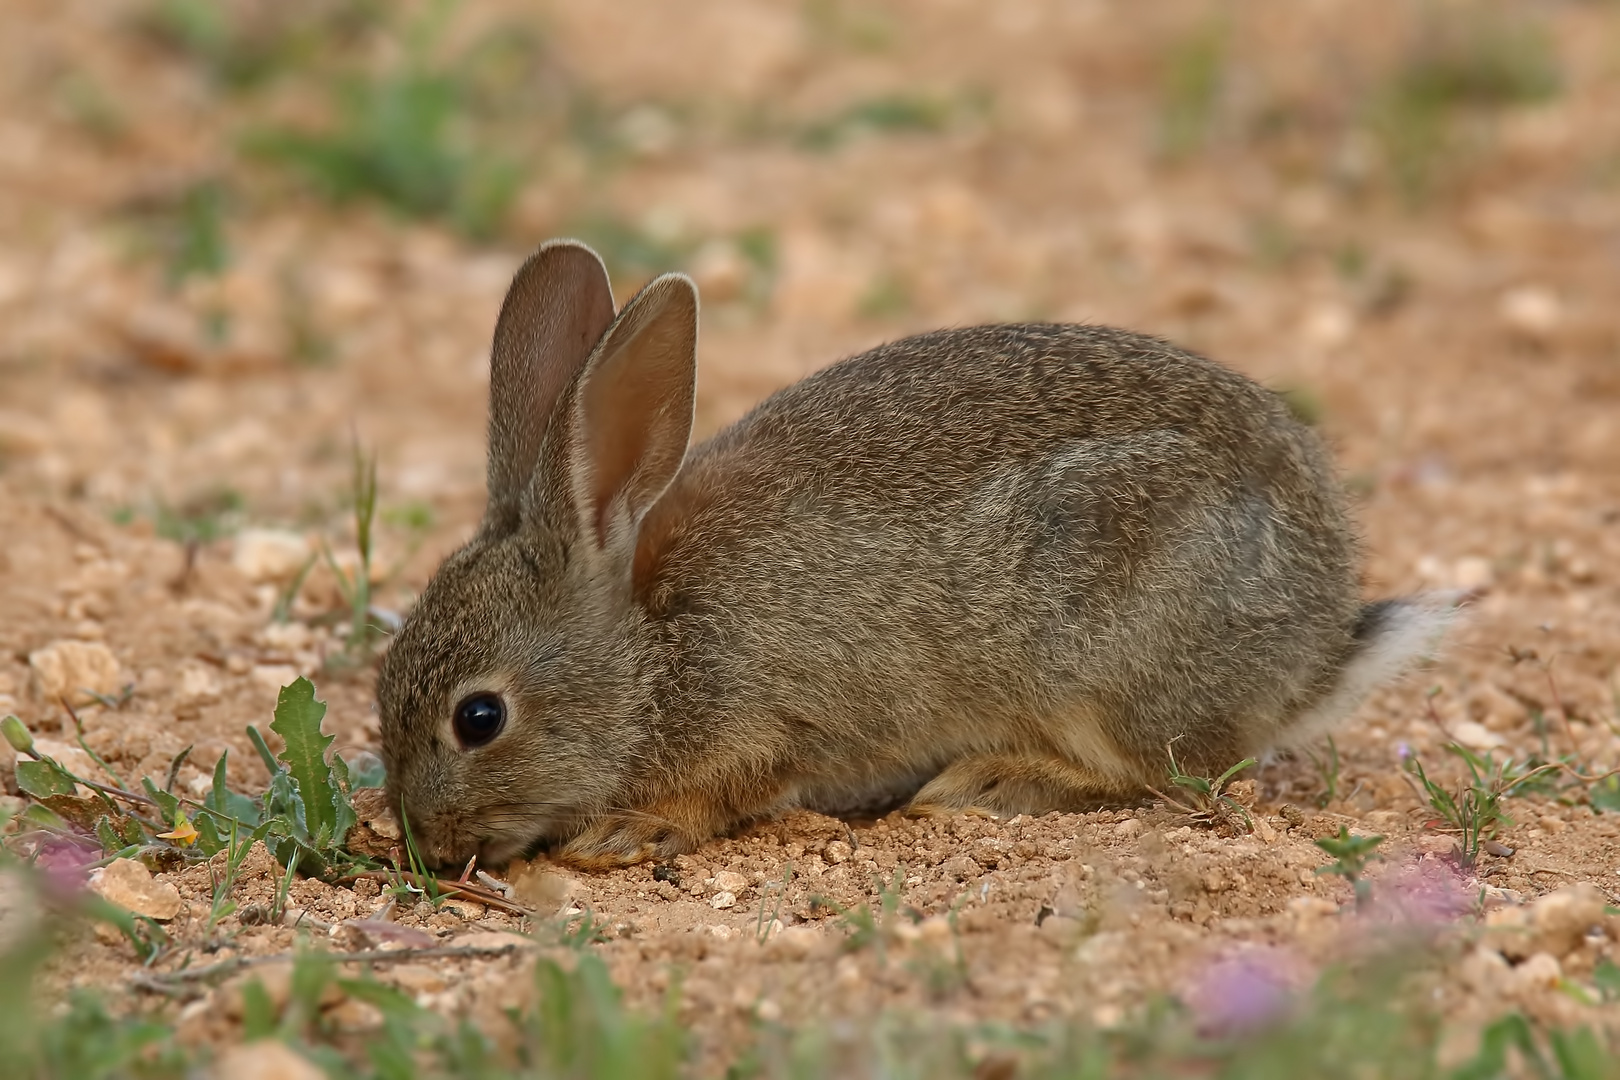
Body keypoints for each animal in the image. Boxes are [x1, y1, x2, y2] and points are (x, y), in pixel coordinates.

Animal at [375, 236, 1458, 867]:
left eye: (479, 718)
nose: (425, 842)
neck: (647, 647)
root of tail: (1314, 650)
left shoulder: (768, 719)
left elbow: (729, 790)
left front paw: (629, 830)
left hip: (1107, 659)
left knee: (1171, 773)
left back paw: (990, 782)